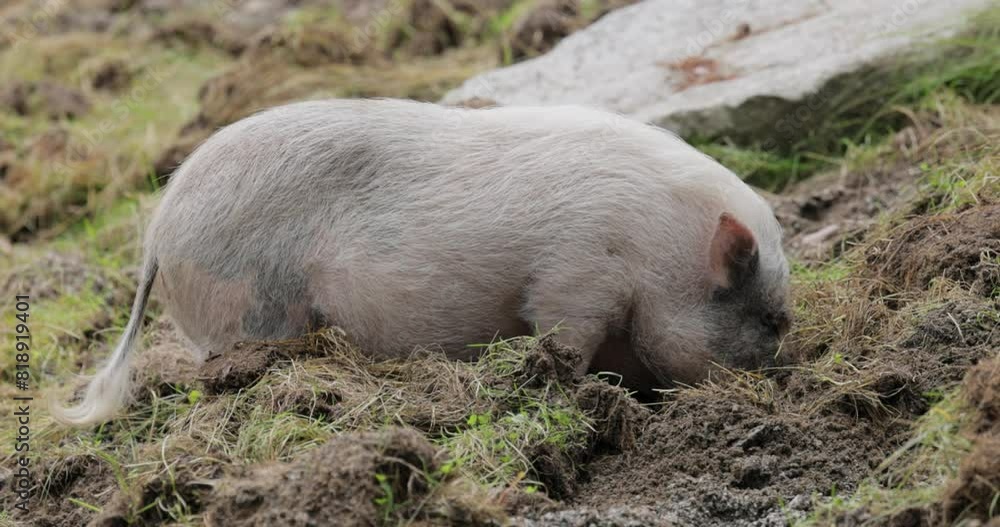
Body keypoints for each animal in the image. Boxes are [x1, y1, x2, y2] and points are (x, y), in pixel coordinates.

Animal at [52, 99, 788, 426]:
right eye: (770, 320)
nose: (784, 380)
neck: (659, 249)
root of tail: (157, 233)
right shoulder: (579, 275)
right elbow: (564, 340)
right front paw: (565, 388)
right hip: (247, 309)